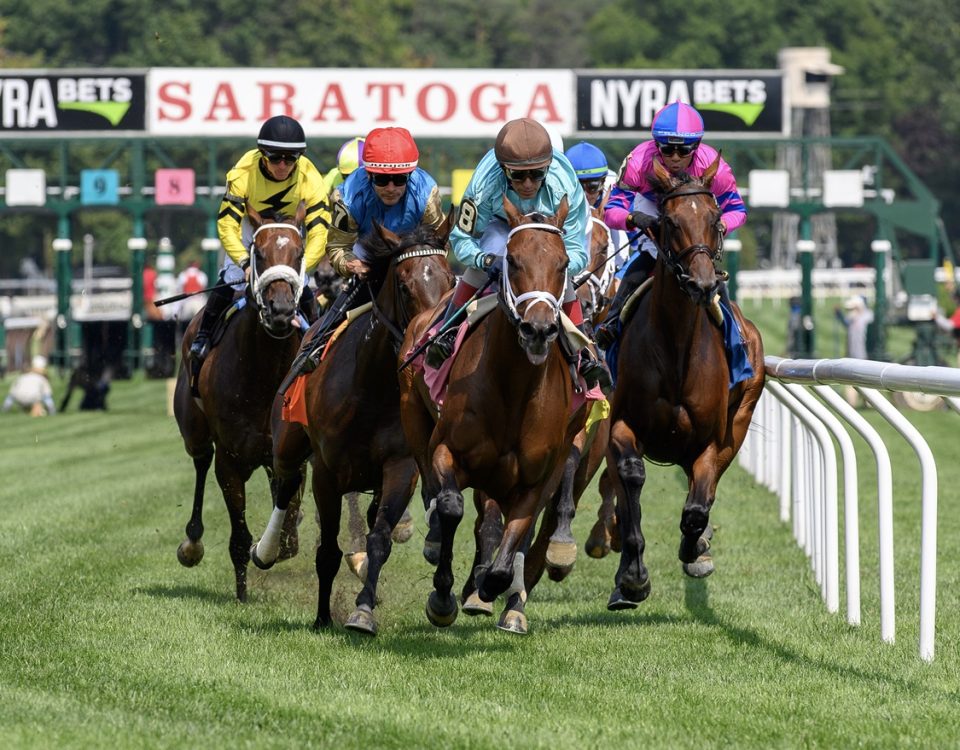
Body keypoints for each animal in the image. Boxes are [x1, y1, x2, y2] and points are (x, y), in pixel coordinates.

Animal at [173, 203, 308, 604]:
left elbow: (288, 531)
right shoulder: (230, 460)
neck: (264, 375)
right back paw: (192, 543)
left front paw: (274, 544)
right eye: (259, 254)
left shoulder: (291, 454)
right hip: (194, 429)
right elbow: (239, 537)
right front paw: (242, 593)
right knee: (201, 460)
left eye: (298, 253)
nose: (280, 310)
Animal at [251, 216, 454, 636]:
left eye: (450, 280)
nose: (437, 341)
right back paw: (265, 550)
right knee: (285, 484)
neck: (371, 387)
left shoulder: (400, 466)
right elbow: (327, 550)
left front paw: (363, 611)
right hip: (287, 442)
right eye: (405, 285)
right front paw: (322, 617)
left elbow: (380, 539)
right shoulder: (327, 473)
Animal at [398, 195, 576, 636]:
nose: (538, 330)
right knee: (433, 491)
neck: (513, 391)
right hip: (413, 418)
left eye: (564, 262)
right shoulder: (446, 449)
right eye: (512, 260)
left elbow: (514, 539)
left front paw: (491, 587)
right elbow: (449, 506)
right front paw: (442, 598)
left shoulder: (536, 479)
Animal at [608, 159, 764, 612]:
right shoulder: (621, 424)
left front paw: (696, 550)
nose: (702, 284)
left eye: (715, 219)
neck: (677, 346)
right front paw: (633, 578)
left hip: (740, 419)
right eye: (670, 222)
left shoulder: (712, 440)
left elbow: (696, 508)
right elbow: (630, 479)